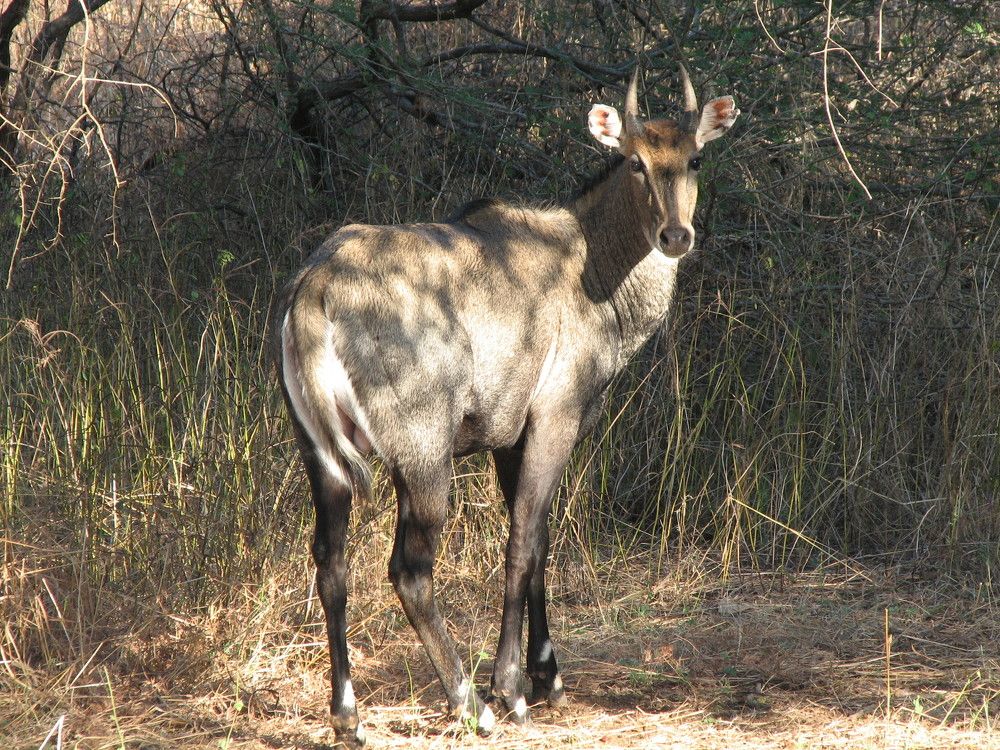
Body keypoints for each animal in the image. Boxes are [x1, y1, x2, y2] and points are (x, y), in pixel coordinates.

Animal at [276, 65, 738, 746]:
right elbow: (523, 542)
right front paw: (515, 687)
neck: (589, 265)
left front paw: (549, 675)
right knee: (408, 570)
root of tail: (313, 290)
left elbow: (540, 542)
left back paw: (348, 715)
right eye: (633, 161)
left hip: (322, 457)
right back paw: (471, 703)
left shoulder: (507, 437)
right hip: (422, 454)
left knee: (330, 564)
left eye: (696, 157)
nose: (675, 236)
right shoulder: (556, 416)